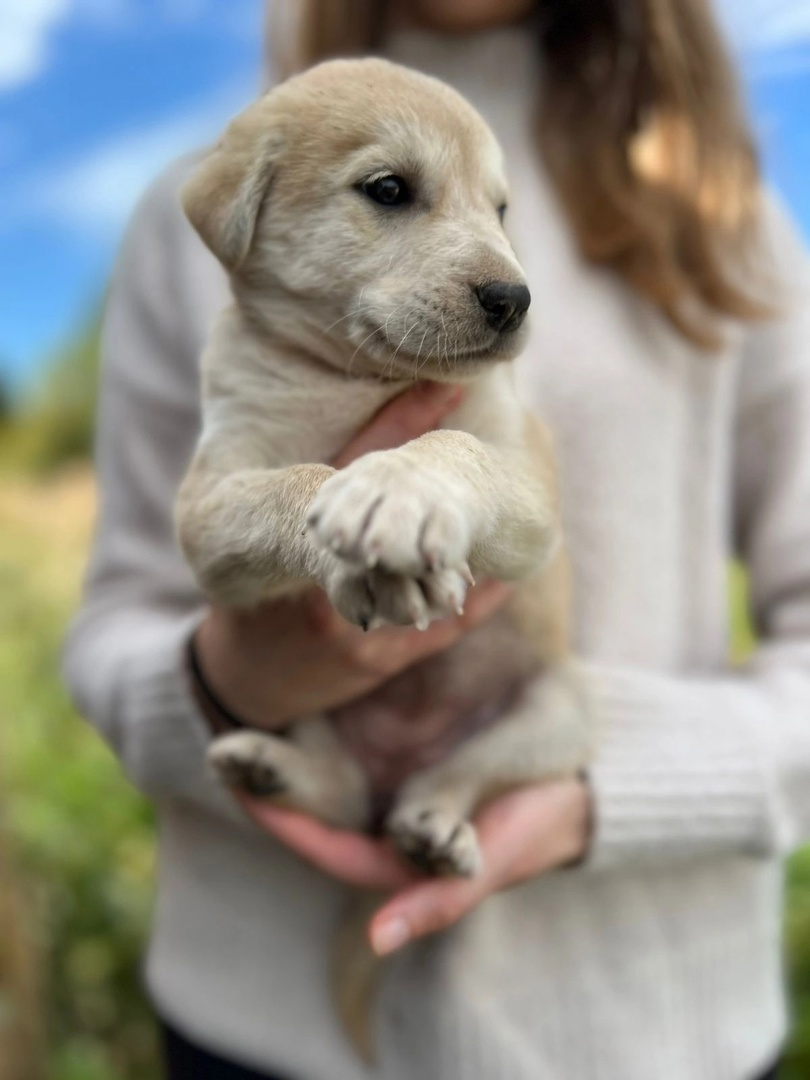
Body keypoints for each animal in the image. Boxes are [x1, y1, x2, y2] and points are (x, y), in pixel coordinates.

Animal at [176, 56, 596, 876]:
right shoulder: (209, 497)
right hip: (304, 702)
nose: (515, 298)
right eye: (389, 189)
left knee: (450, 778)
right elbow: (290, 484)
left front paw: (398, 492)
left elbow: (451, 447)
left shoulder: (528, 482)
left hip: (560, 711)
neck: (353, 379)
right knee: (343, 793)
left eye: (500, 208)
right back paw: (270, 768)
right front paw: (347, 528)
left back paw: (432, 830)